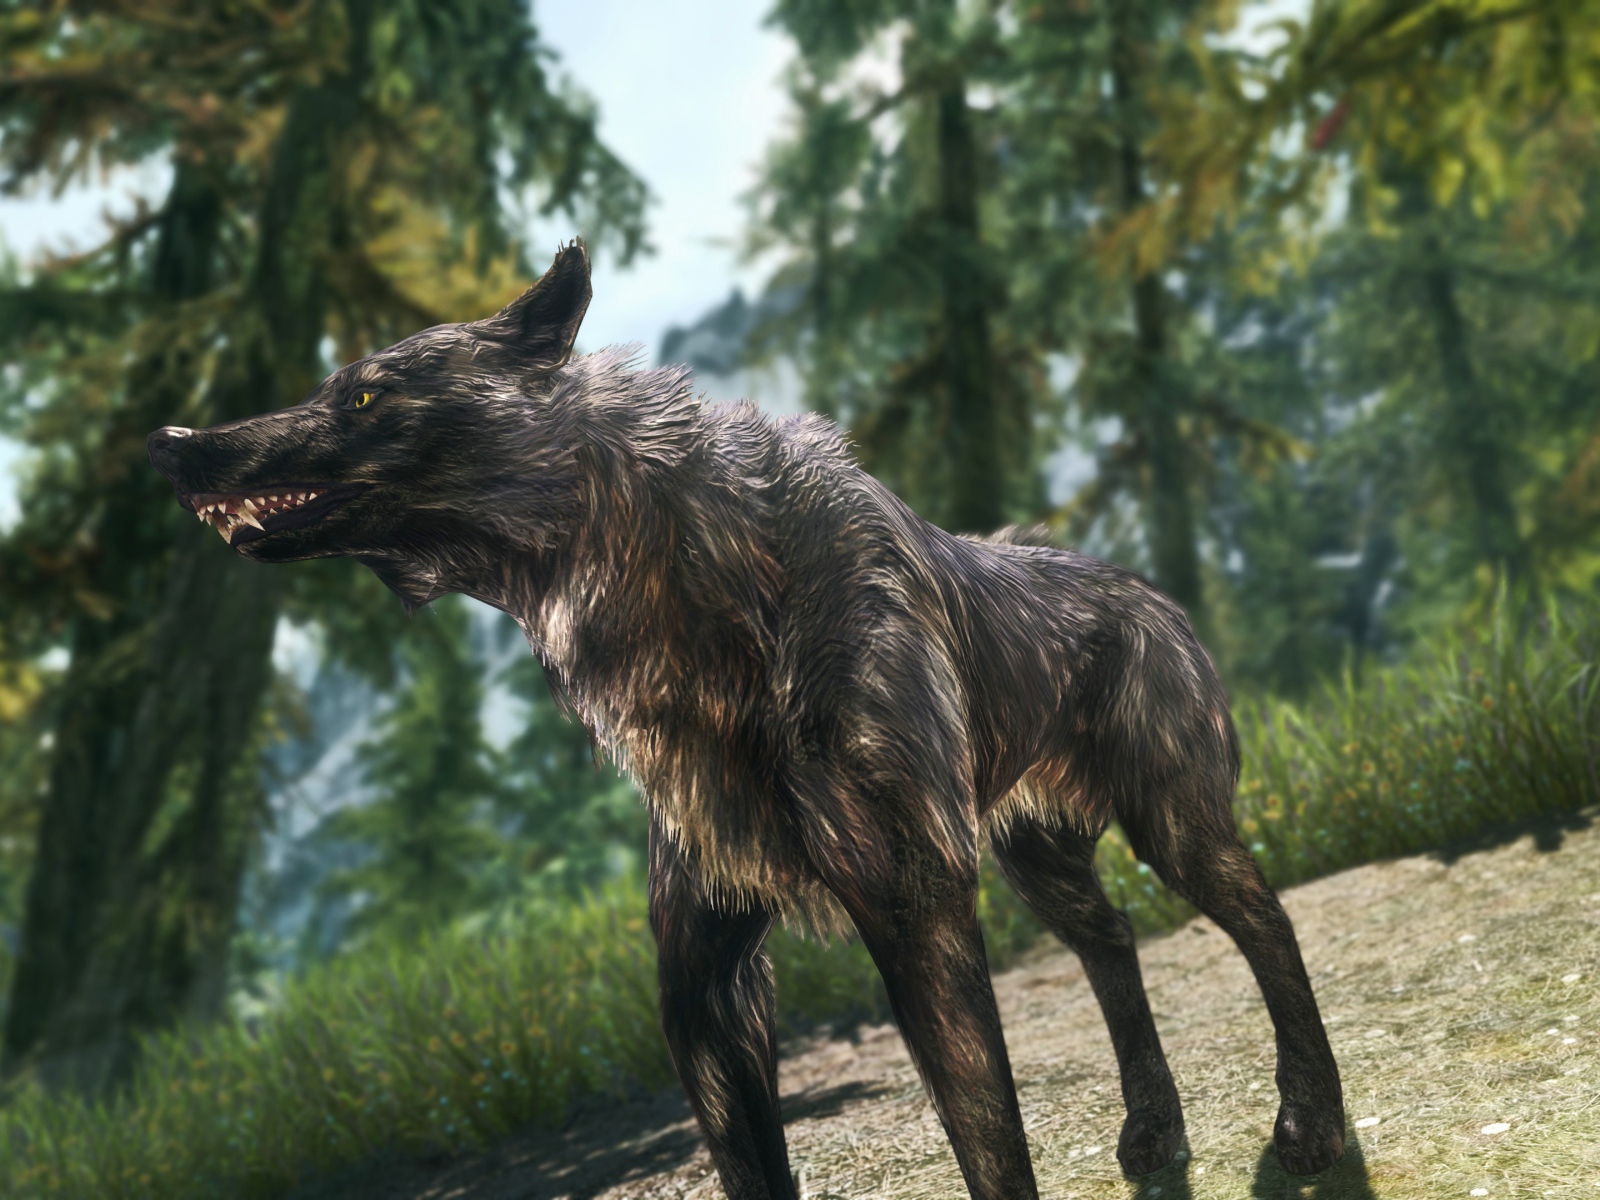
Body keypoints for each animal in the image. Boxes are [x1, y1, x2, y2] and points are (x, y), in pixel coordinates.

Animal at [148, 243, 1345, 1198]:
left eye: (362, 397)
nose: (168, 439)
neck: (699, 595)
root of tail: (1151, 595)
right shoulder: (705, 986)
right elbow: (755, 1168)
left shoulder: (914, 912)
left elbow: (991, 1144)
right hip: (1040, 863)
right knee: (1115, 941)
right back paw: (1153, 1132)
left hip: (1173, 831)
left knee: (1268, 926)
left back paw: (1310, 1125)